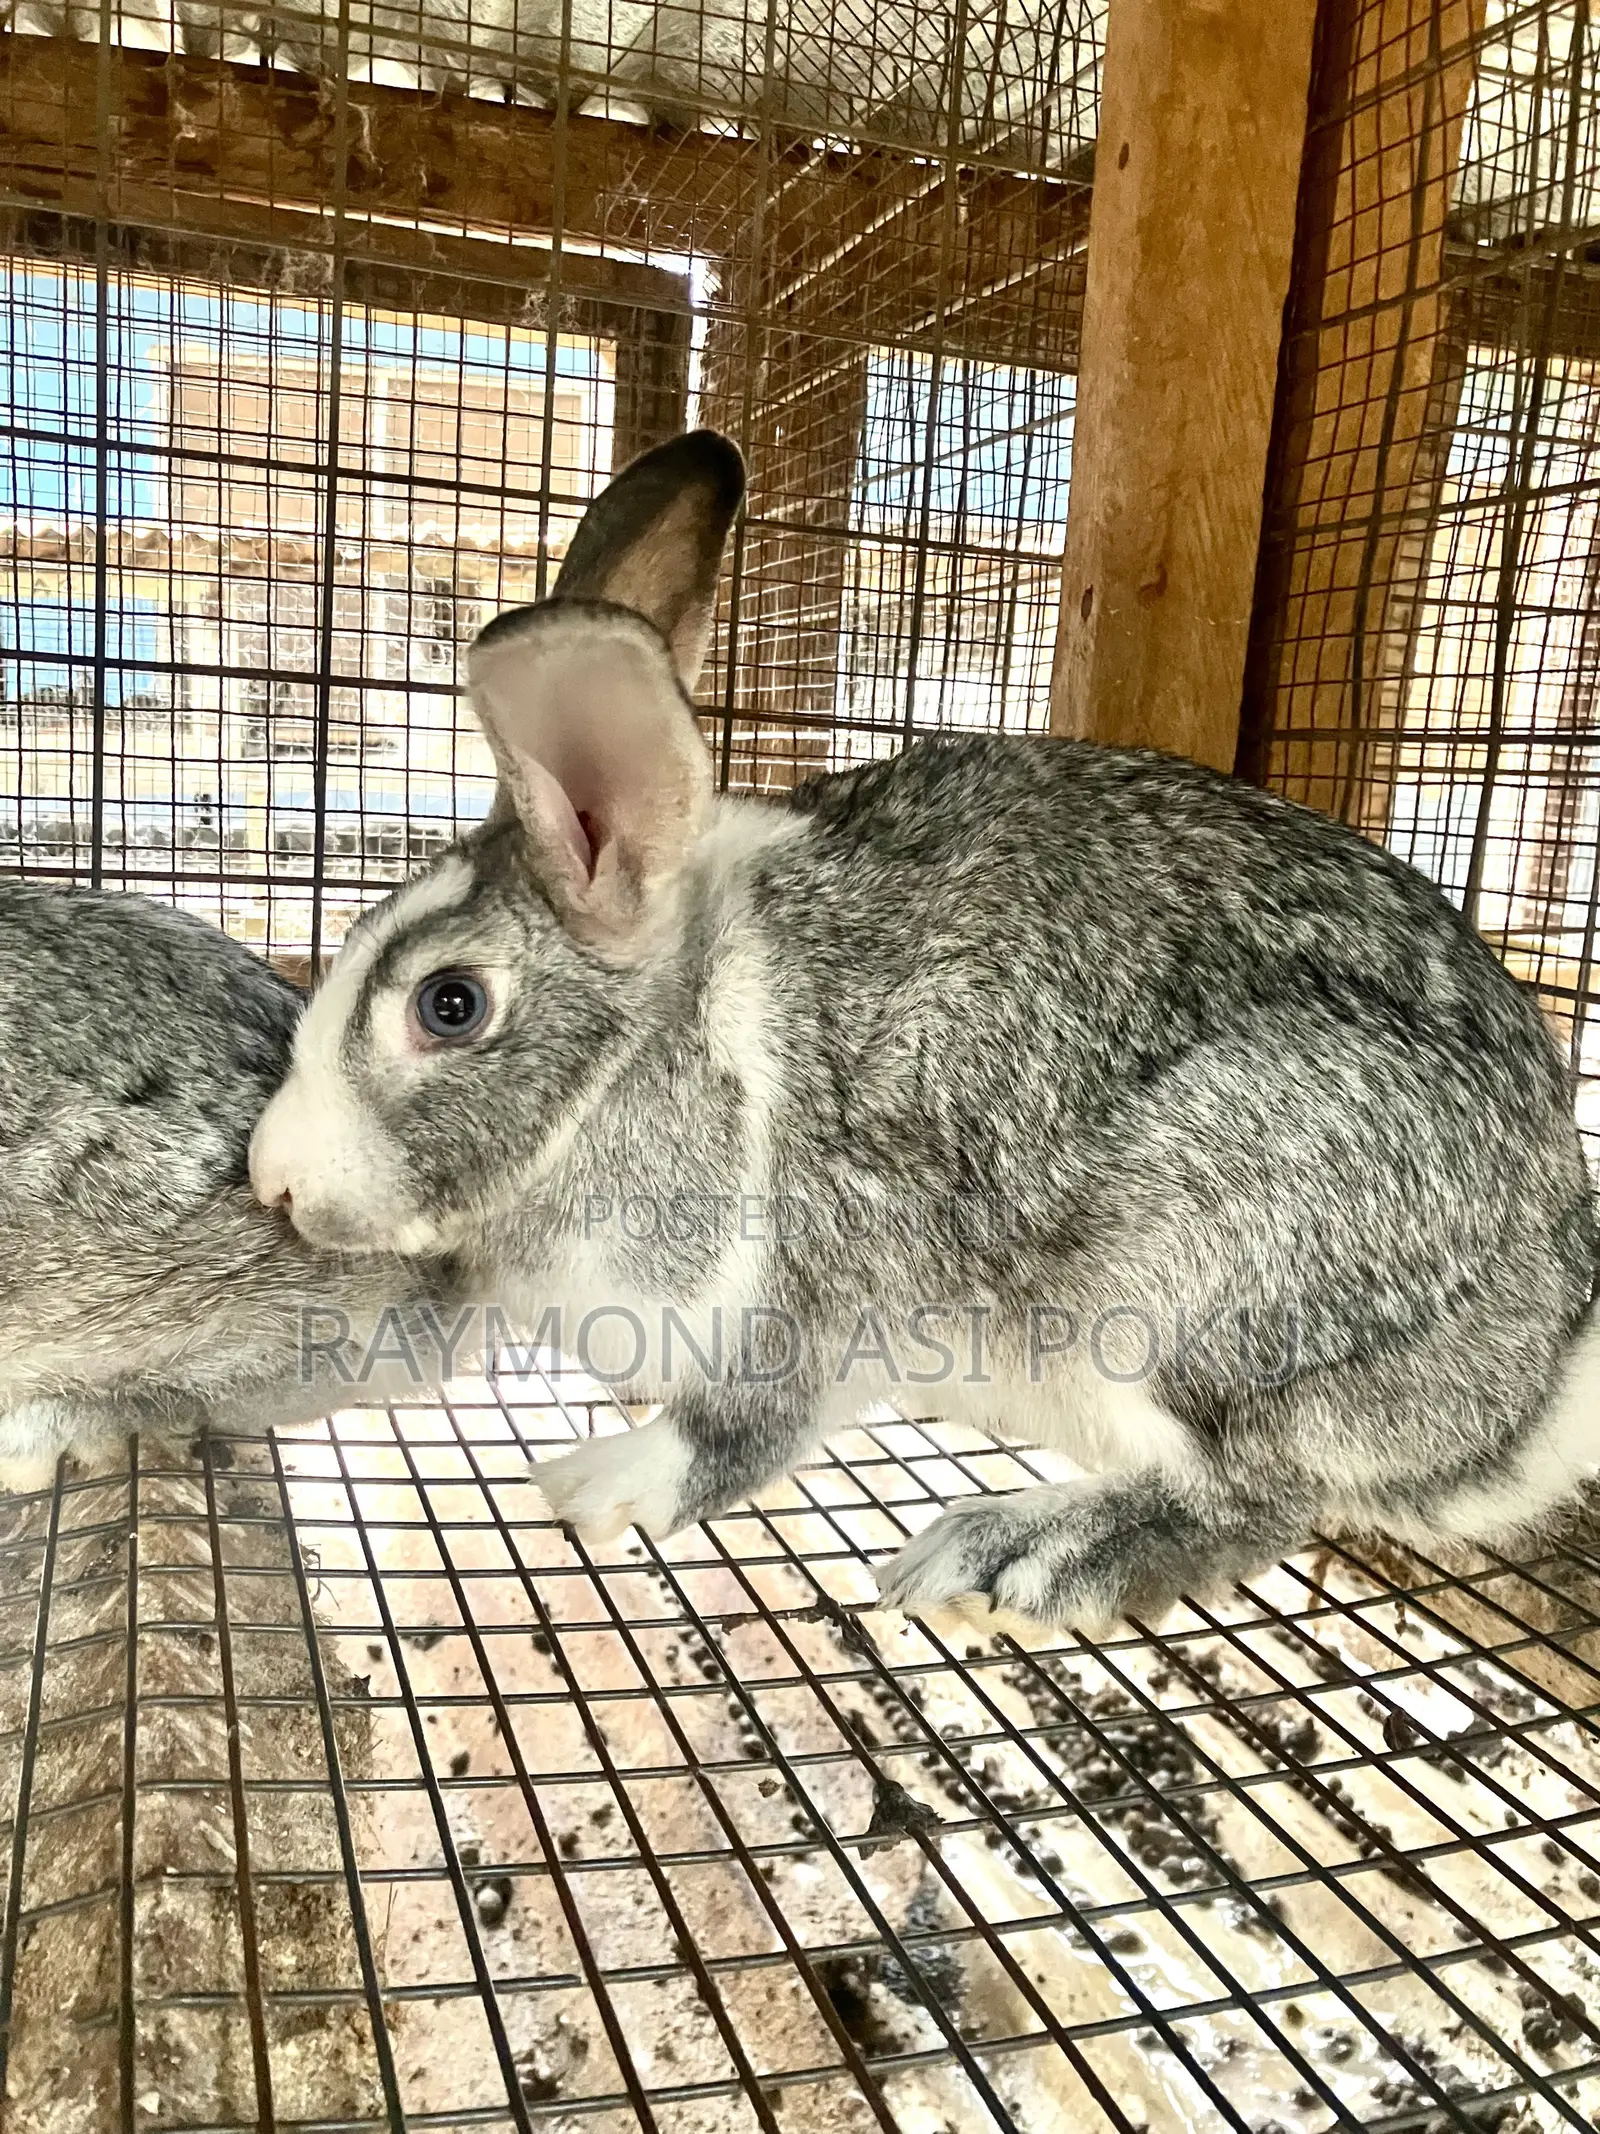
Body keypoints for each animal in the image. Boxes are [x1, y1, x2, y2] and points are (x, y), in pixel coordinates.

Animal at [247, 427, 1600, 1632]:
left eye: (449, 1004)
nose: (272, 1180)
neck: (656, 1057)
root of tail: (1524, 1387)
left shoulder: (820, 1288)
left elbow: (735, 1432)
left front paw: (594, 1486)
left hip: (1194, 1293)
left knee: (1258, 1498)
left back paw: (1011, 1555)